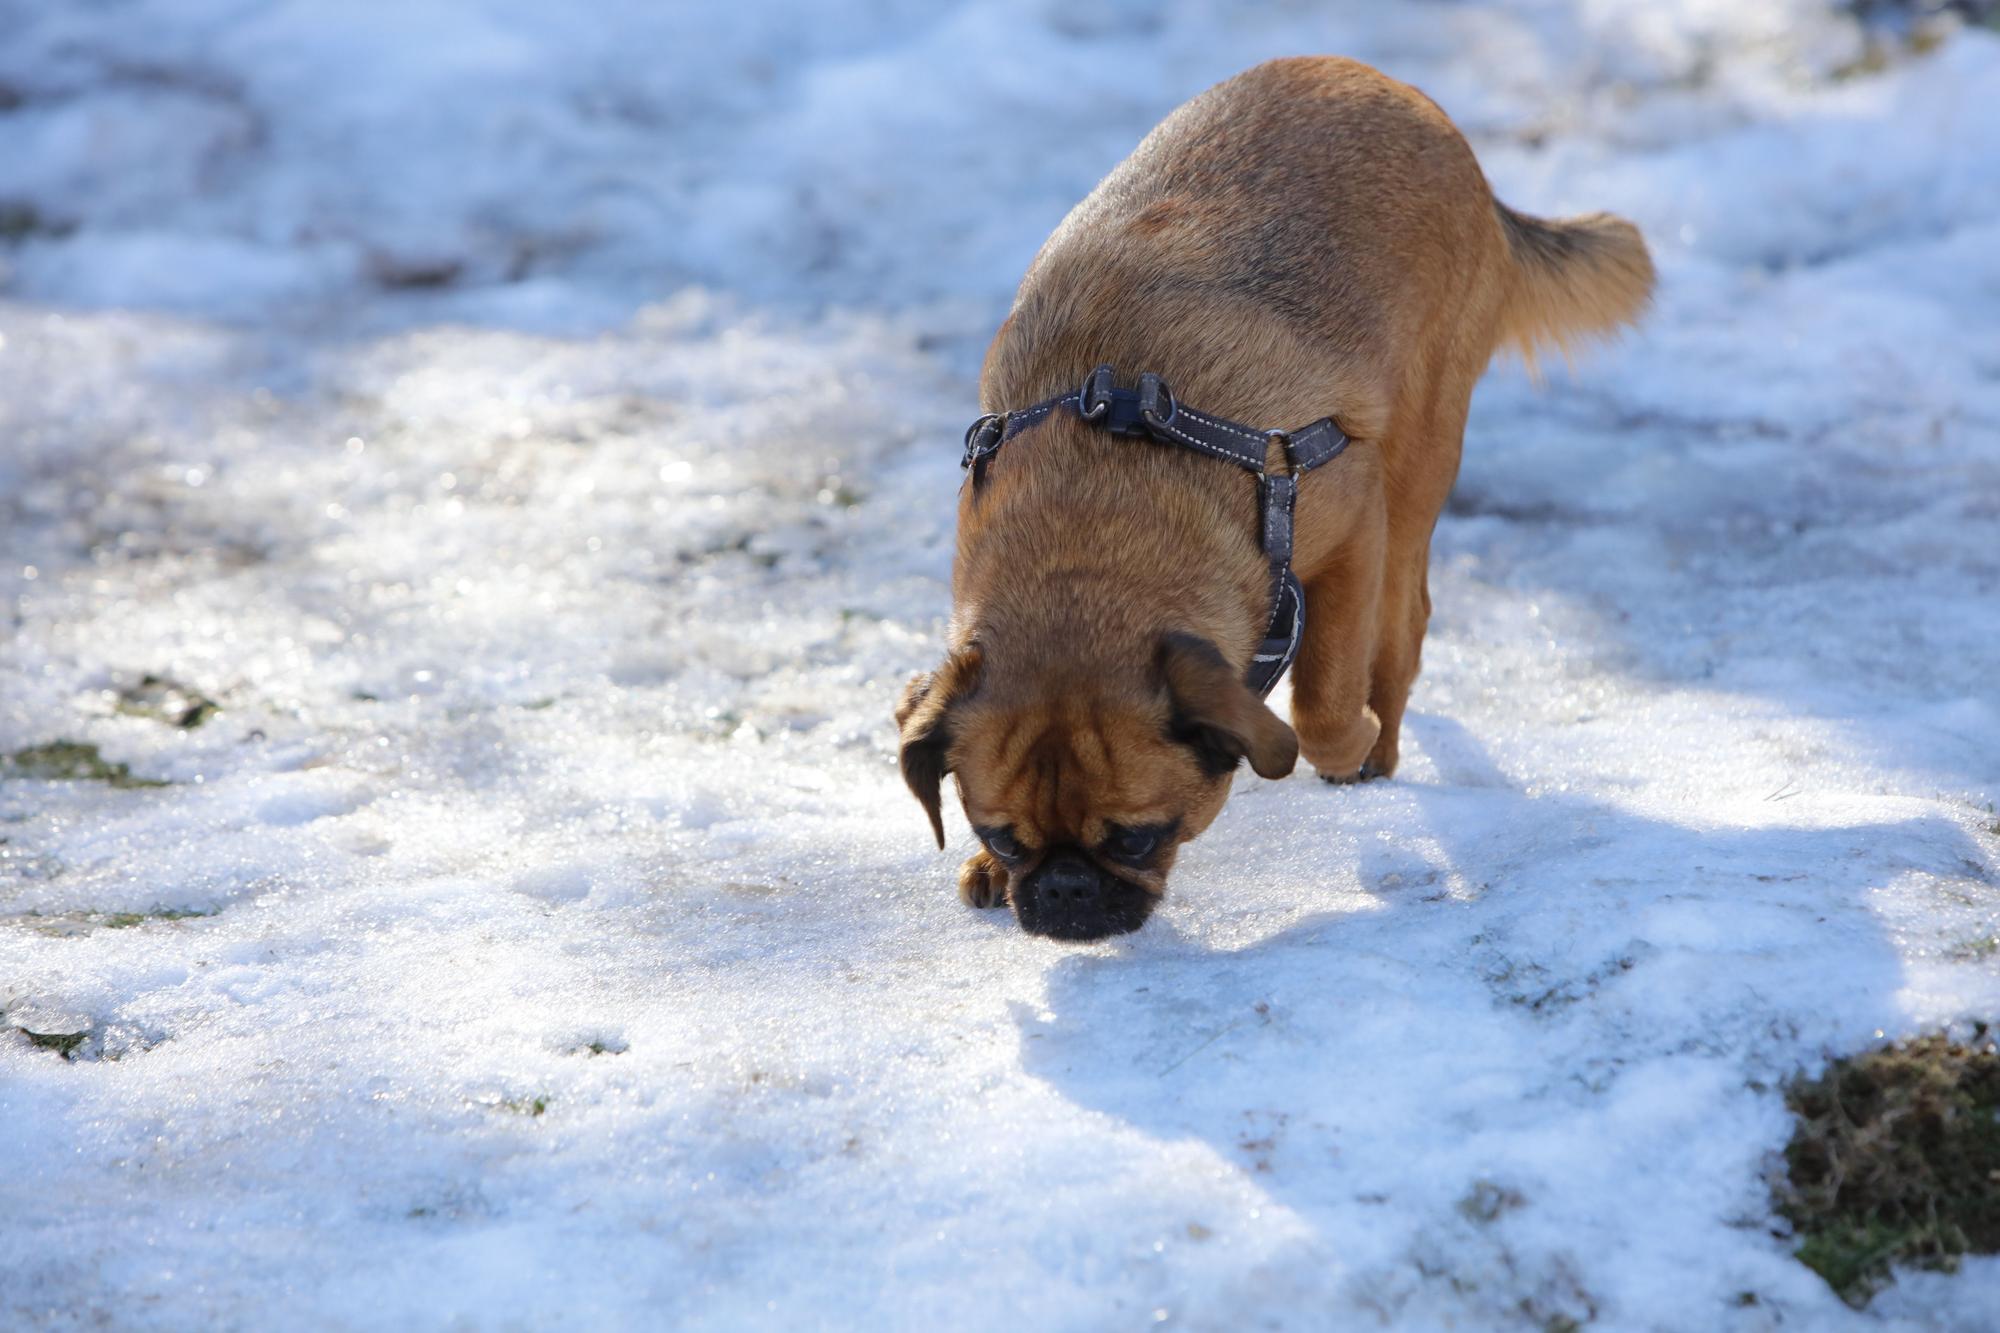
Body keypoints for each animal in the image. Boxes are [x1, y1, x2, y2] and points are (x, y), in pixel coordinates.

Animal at [900, 57, 1648, 940]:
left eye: (1141, 836)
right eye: (1004, 838)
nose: (1065, 893)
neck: (1091, 520)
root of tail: (1406, 96)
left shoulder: (1351, 525)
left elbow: (1321, 702)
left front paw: (1347, 741)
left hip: (1418, 461)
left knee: (1405, 623)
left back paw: (1380, 744)